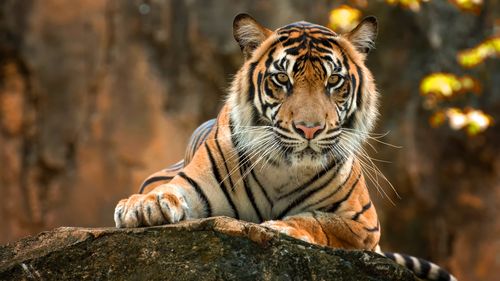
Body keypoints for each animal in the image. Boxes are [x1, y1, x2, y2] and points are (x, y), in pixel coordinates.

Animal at [114, 13, 458, 280]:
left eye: (334, 81)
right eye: (281, 79)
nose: (309, 128)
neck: (283, 169)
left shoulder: (363, 223)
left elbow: (319, 220)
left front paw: (281, 229)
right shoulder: (192, 184)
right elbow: (167, 191)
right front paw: (142, 206)